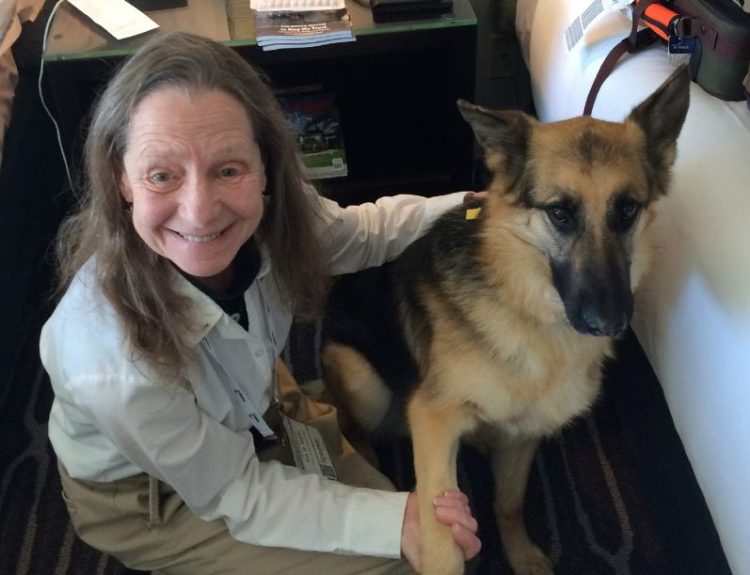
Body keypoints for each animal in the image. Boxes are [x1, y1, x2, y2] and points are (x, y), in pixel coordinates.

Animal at [324, 68, 692, 575]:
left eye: (627, 210)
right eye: (559, 212)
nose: (610, 321)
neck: (532, 313)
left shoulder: (527, 433)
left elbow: (510, 502)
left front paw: (520, 554)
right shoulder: (433, 422)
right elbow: (440, 537)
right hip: (364, 380)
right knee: (355, 428)